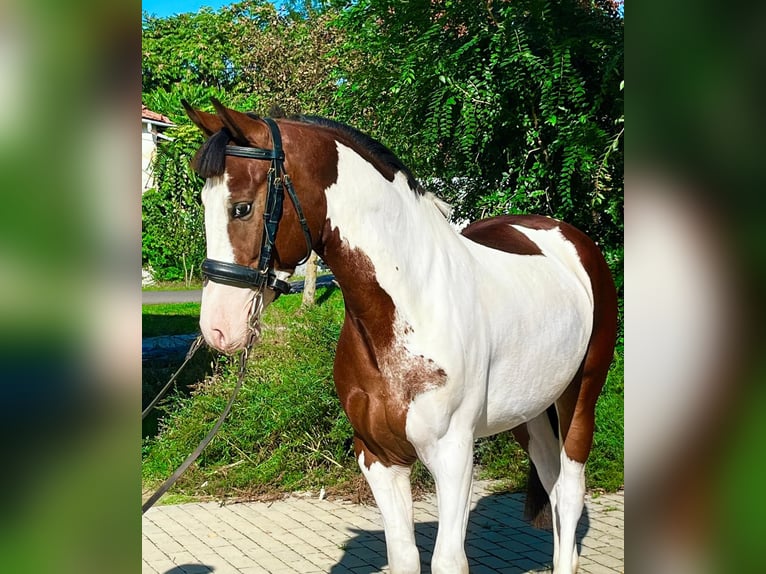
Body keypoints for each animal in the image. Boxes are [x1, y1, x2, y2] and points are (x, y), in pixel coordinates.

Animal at [183, 100, 620, 574]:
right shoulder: (378, 456)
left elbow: (448, 560)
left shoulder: (453, 455)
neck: (409, 307)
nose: (218, 327)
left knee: (570, 492)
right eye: (203, 202)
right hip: (530, 412)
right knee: (553, 486)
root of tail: (571, 239)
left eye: (242, 208)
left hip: (580, 397)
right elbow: (403, 556)